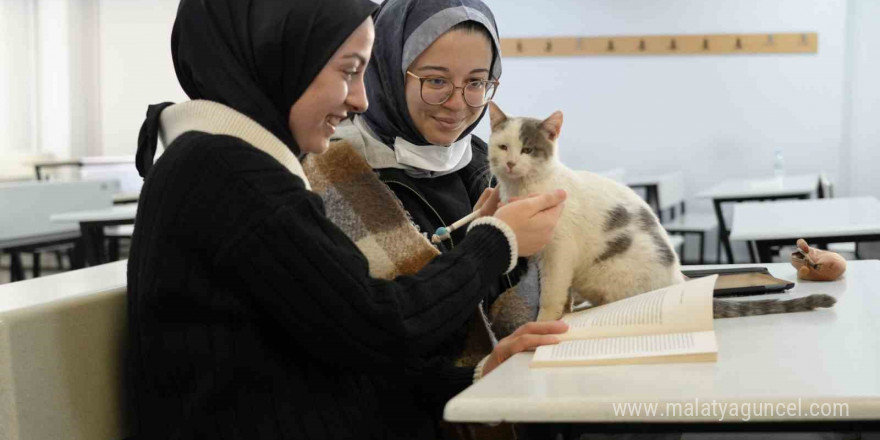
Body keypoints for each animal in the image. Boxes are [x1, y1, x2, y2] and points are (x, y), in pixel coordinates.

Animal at [484, 101, 836, 322]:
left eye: (528, 149)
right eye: (503, 147)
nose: (511, 162)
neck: (526, 189)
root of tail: (677, 282)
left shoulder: (559, 253)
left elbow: (552, 292)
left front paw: (544, 322)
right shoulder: (543, 256)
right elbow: (562, 292)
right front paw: (564, 312)